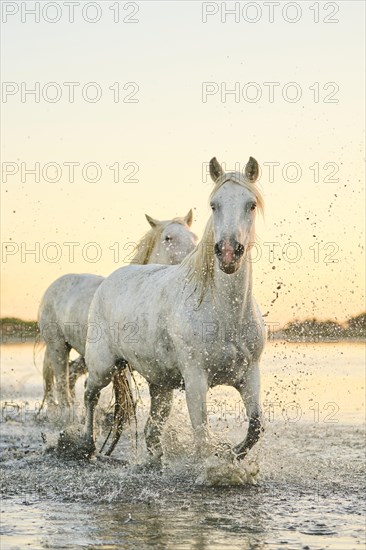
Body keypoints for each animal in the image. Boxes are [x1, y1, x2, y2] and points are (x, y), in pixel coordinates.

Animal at [37, 211, 197, 410]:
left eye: (194, 236)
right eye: (168, 237)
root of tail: (50, 289)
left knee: (71, 375)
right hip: (58, 347)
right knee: (61, 385)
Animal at [82, 157, 266, 464]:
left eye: (250, 204)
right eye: (214, 205)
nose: (228, 253)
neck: (224, 314)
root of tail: (110, 280)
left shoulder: (249, 375)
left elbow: (255, 428)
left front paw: (229, 454)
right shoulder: (195, 378)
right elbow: (202, 436)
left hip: (160, 384)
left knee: (151, 430)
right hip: (103, 367)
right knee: (89, 395)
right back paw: (86, 446)